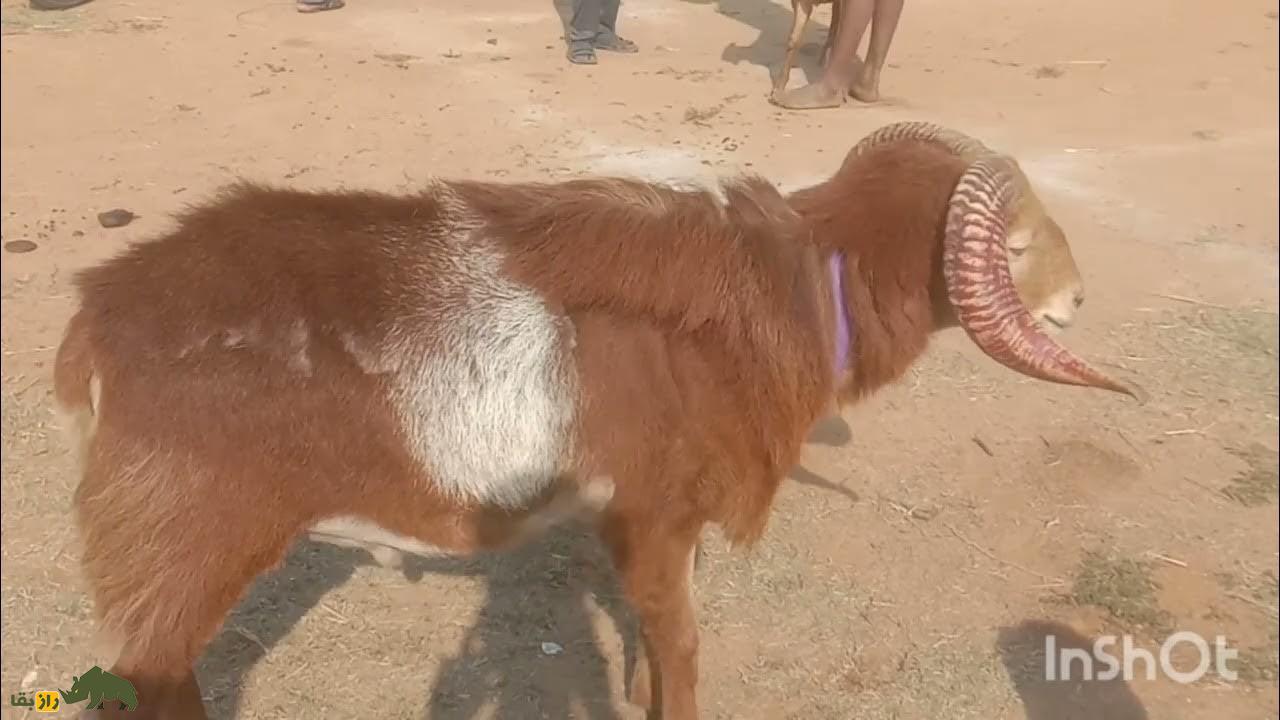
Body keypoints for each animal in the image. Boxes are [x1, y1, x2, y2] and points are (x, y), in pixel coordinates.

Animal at [52, 121, 1137, 719]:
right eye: (1021, 240)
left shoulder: (660, 520)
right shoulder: (651, 512)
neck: (792, 290)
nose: (1080, 300)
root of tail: (99, 318)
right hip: (182, 541)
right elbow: (685, 640)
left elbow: (660, 629)